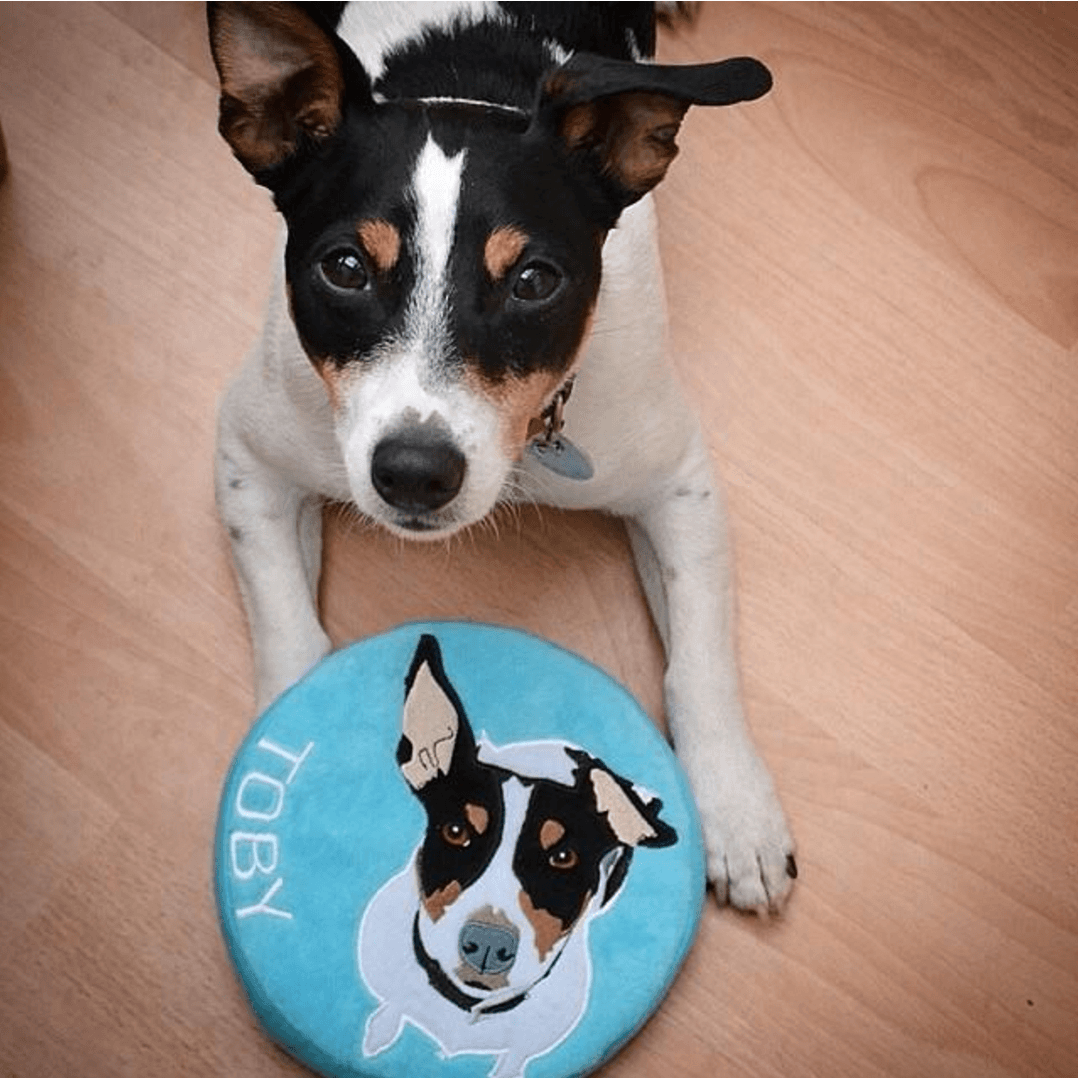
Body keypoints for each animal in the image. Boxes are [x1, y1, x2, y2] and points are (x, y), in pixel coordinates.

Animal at [210, 0, 797, 909]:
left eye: (534, 282)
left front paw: (738, 809)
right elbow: (289, 632)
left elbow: (699, 664)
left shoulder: (678, 484)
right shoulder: (251, 456)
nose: (414, 473)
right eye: (344, 268)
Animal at [357, 629, 676, 1078]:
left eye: (563, 858)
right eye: (456, 831)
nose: (489, 946)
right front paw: (379, 1032)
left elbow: (513, 1060)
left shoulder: (526, 1047)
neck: (467, 1006)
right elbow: (394, 1005)